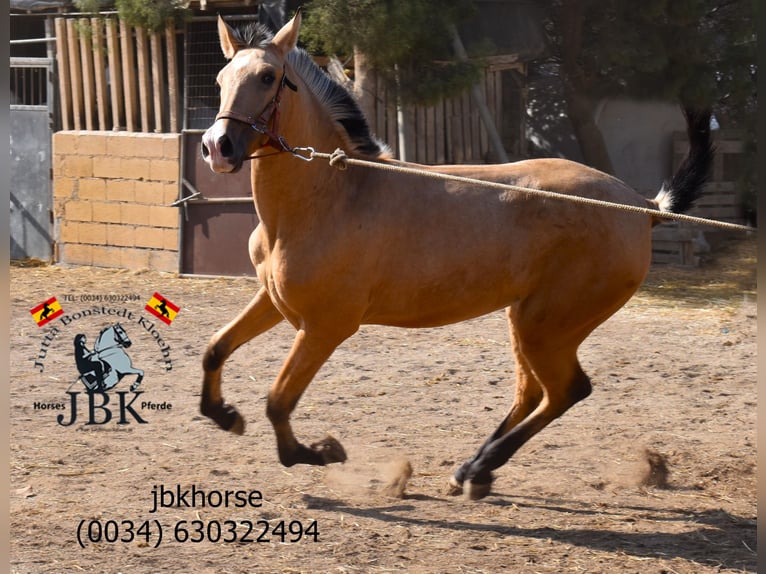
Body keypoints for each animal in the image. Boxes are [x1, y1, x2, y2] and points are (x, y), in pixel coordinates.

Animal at [202, 11, 712, 502]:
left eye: (268, 77)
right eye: (222, 77)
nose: (216, 147)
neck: (331, 196)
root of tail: (641, 206)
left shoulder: (325, 327)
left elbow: (277, 400)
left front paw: (320, 452)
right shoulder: (272, 301)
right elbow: (215, 349)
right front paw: (224, 414)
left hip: (549, 326)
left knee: (565, 391)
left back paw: (479, 469)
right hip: (527, 320)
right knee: (533, 395)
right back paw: (471, 471)